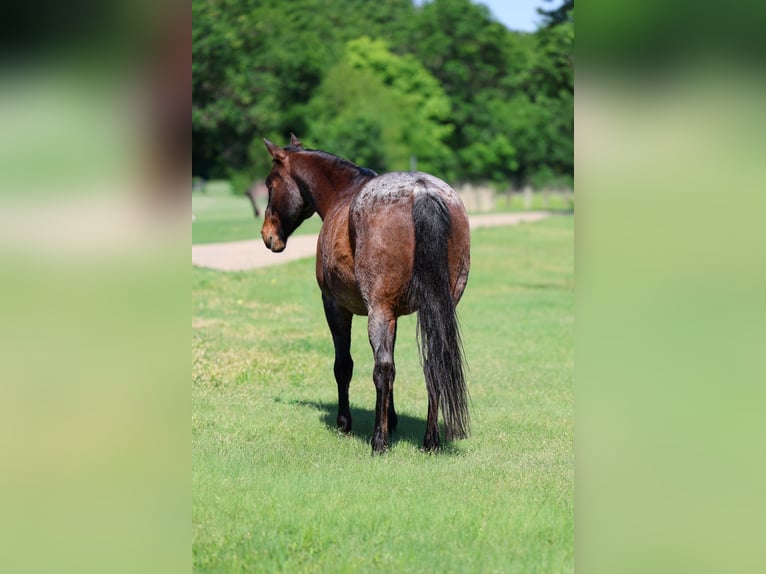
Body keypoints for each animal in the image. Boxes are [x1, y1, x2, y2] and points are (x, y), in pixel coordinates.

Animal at [261, 134, 470, 453]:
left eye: (270, 184)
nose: (267, 235)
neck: (342, 193)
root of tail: (422, 191)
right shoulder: (394, 314)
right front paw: (392, 419)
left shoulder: (336, 307)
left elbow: (345, 366)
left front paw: (345, 423)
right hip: (436, 307)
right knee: (432, 363)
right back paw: (430, 440)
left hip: (378, 309)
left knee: (382, 368)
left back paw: (378, 441)